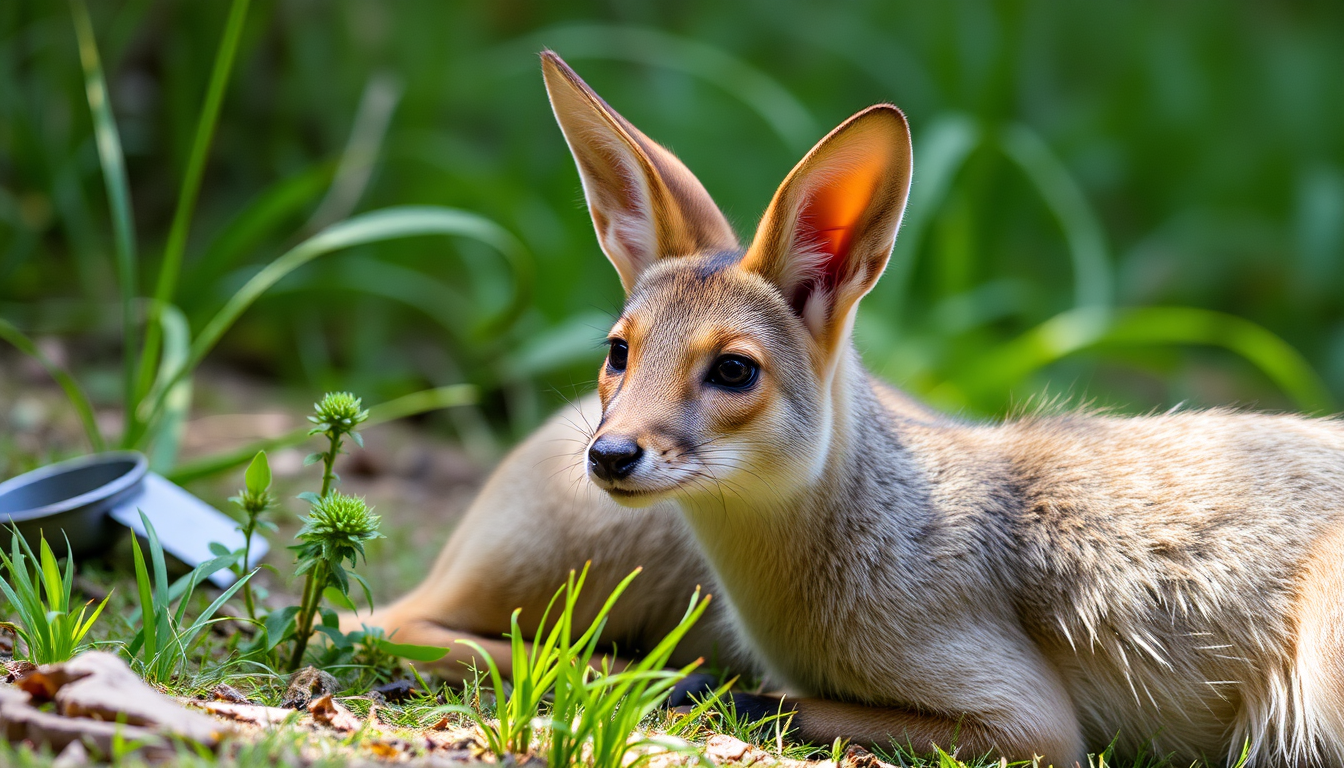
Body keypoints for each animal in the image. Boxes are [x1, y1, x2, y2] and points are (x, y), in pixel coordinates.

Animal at [346, 51, 1344, 766]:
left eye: (734, 371)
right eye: (617, 352)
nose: (611, 454)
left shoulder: (1031, 723)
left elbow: (775, 704)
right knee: (394, 621)